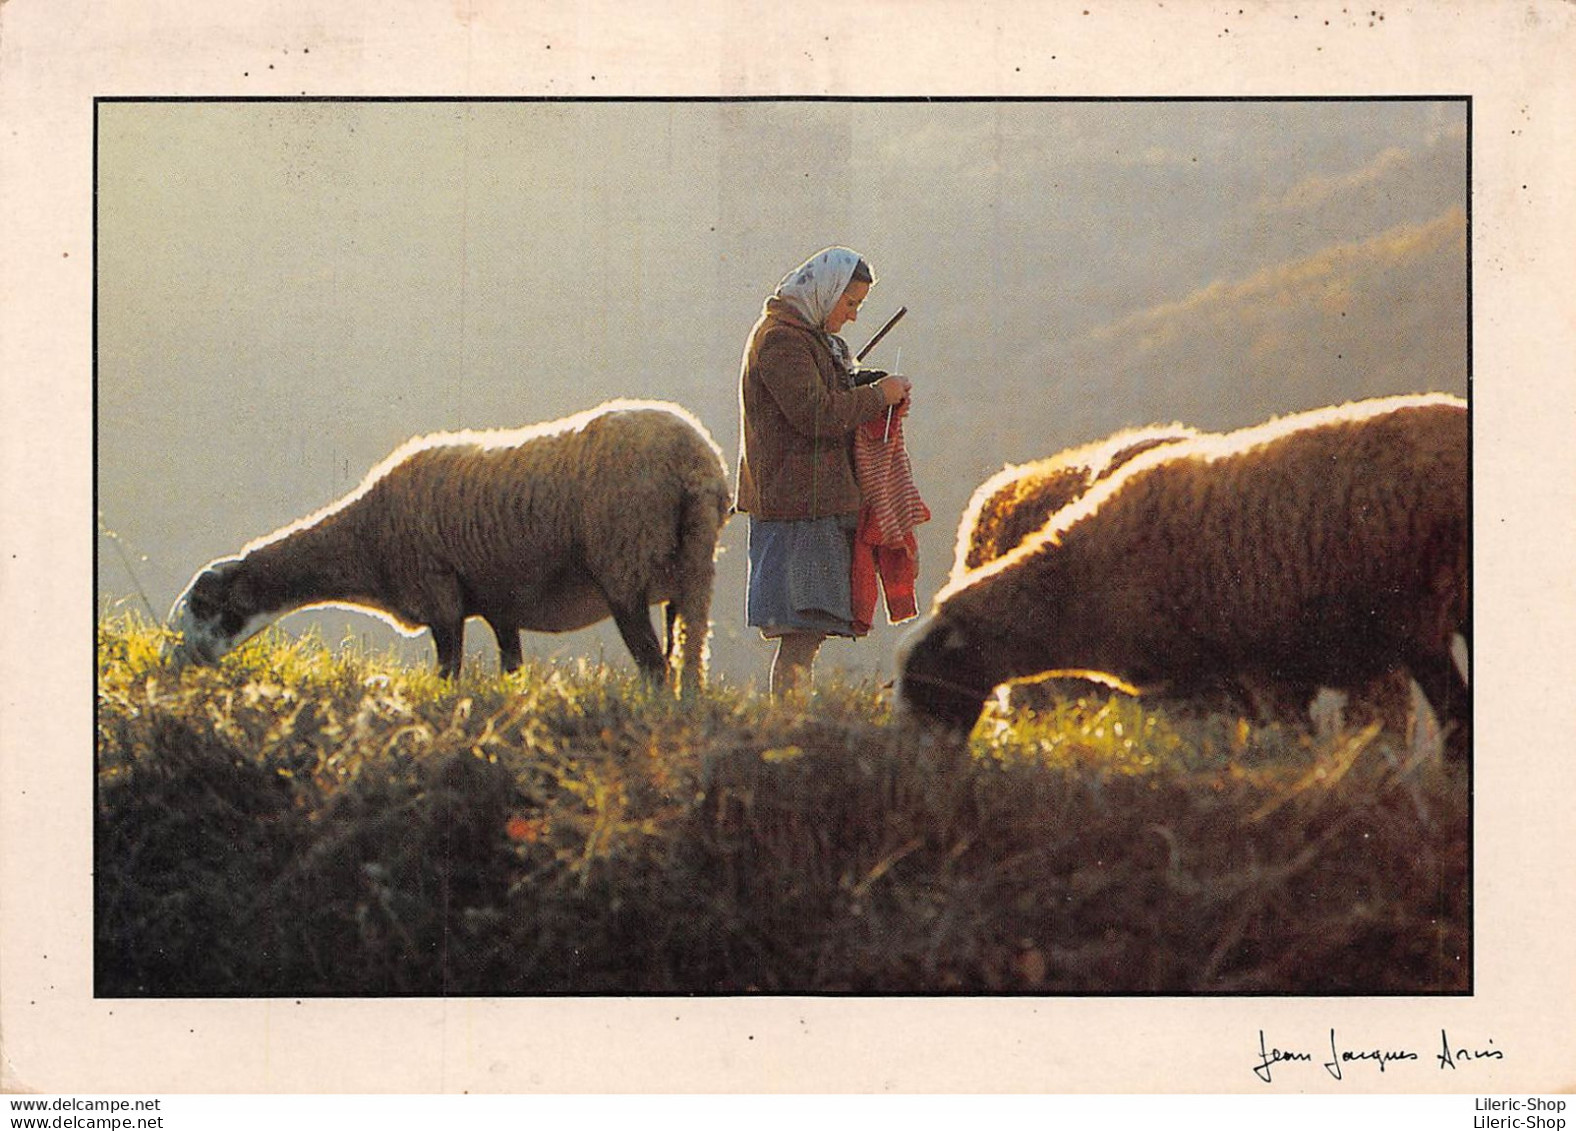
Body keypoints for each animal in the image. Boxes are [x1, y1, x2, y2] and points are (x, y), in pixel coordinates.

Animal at [169, 403, 734, 696]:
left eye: (202, 606)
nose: (174, 663)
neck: (365, 543)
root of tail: (698, 464)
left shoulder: (438, 594)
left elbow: (448, 674)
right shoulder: (499, 602)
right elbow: (511, 667)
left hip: (623, 563)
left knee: (656, 670)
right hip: (689, 569)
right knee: (687, 657)